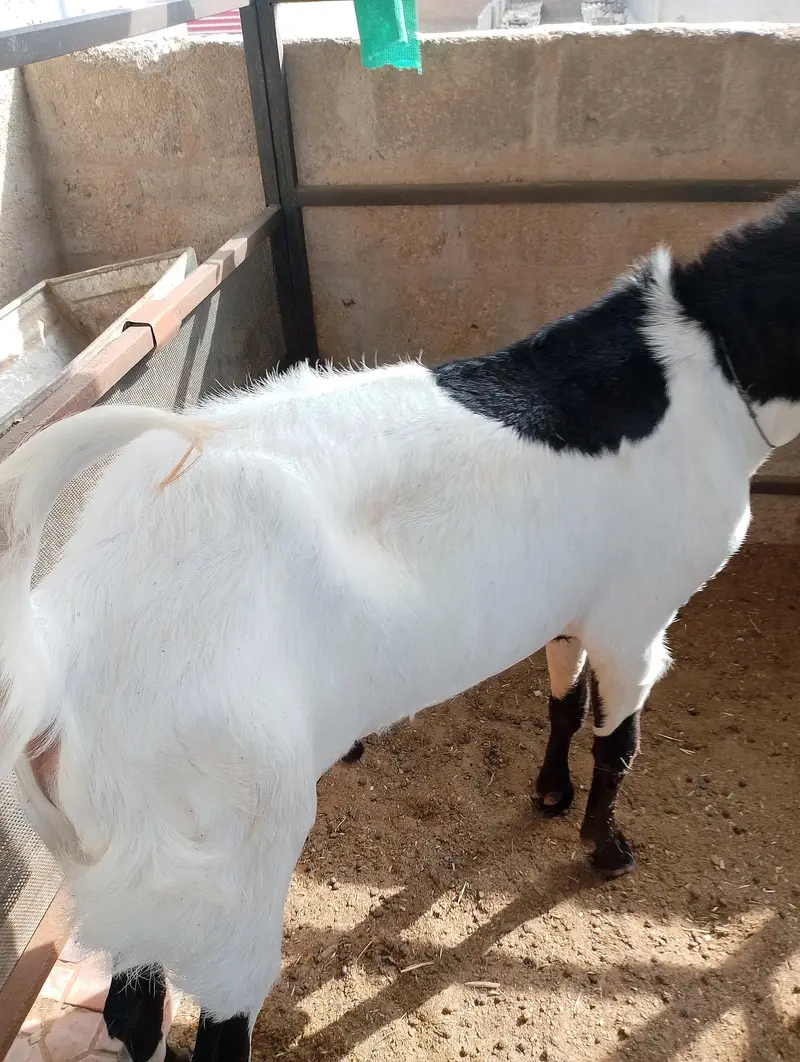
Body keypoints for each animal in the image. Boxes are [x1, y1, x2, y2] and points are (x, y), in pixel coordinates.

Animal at [2, 192, 800, 1061]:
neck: (706, 368)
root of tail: (59, 662)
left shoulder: (571, 603)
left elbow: (562, 698)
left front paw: (550, 795)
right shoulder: (638, 613)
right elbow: (619, 741)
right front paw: (605, 849)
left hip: (134, 868)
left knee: (132, 1010)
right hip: (223, 860)